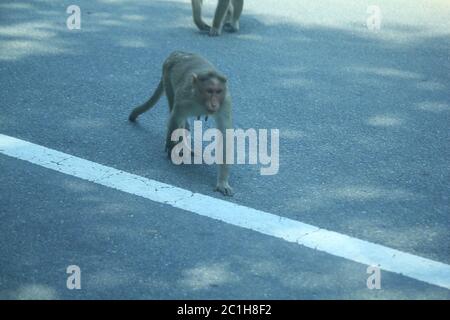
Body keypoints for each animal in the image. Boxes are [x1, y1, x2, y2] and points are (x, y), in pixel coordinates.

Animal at [128, 51, 234, 196]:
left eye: (218, 91)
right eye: (209, 91)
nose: (214, 104)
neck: (201, 101)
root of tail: (177, 53)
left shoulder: (224, 103)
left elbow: (225, 136)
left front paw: (223, 182)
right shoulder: (185, 97)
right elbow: (176, 117)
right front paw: (172, 150)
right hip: (167, 76)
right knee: (177, 114)